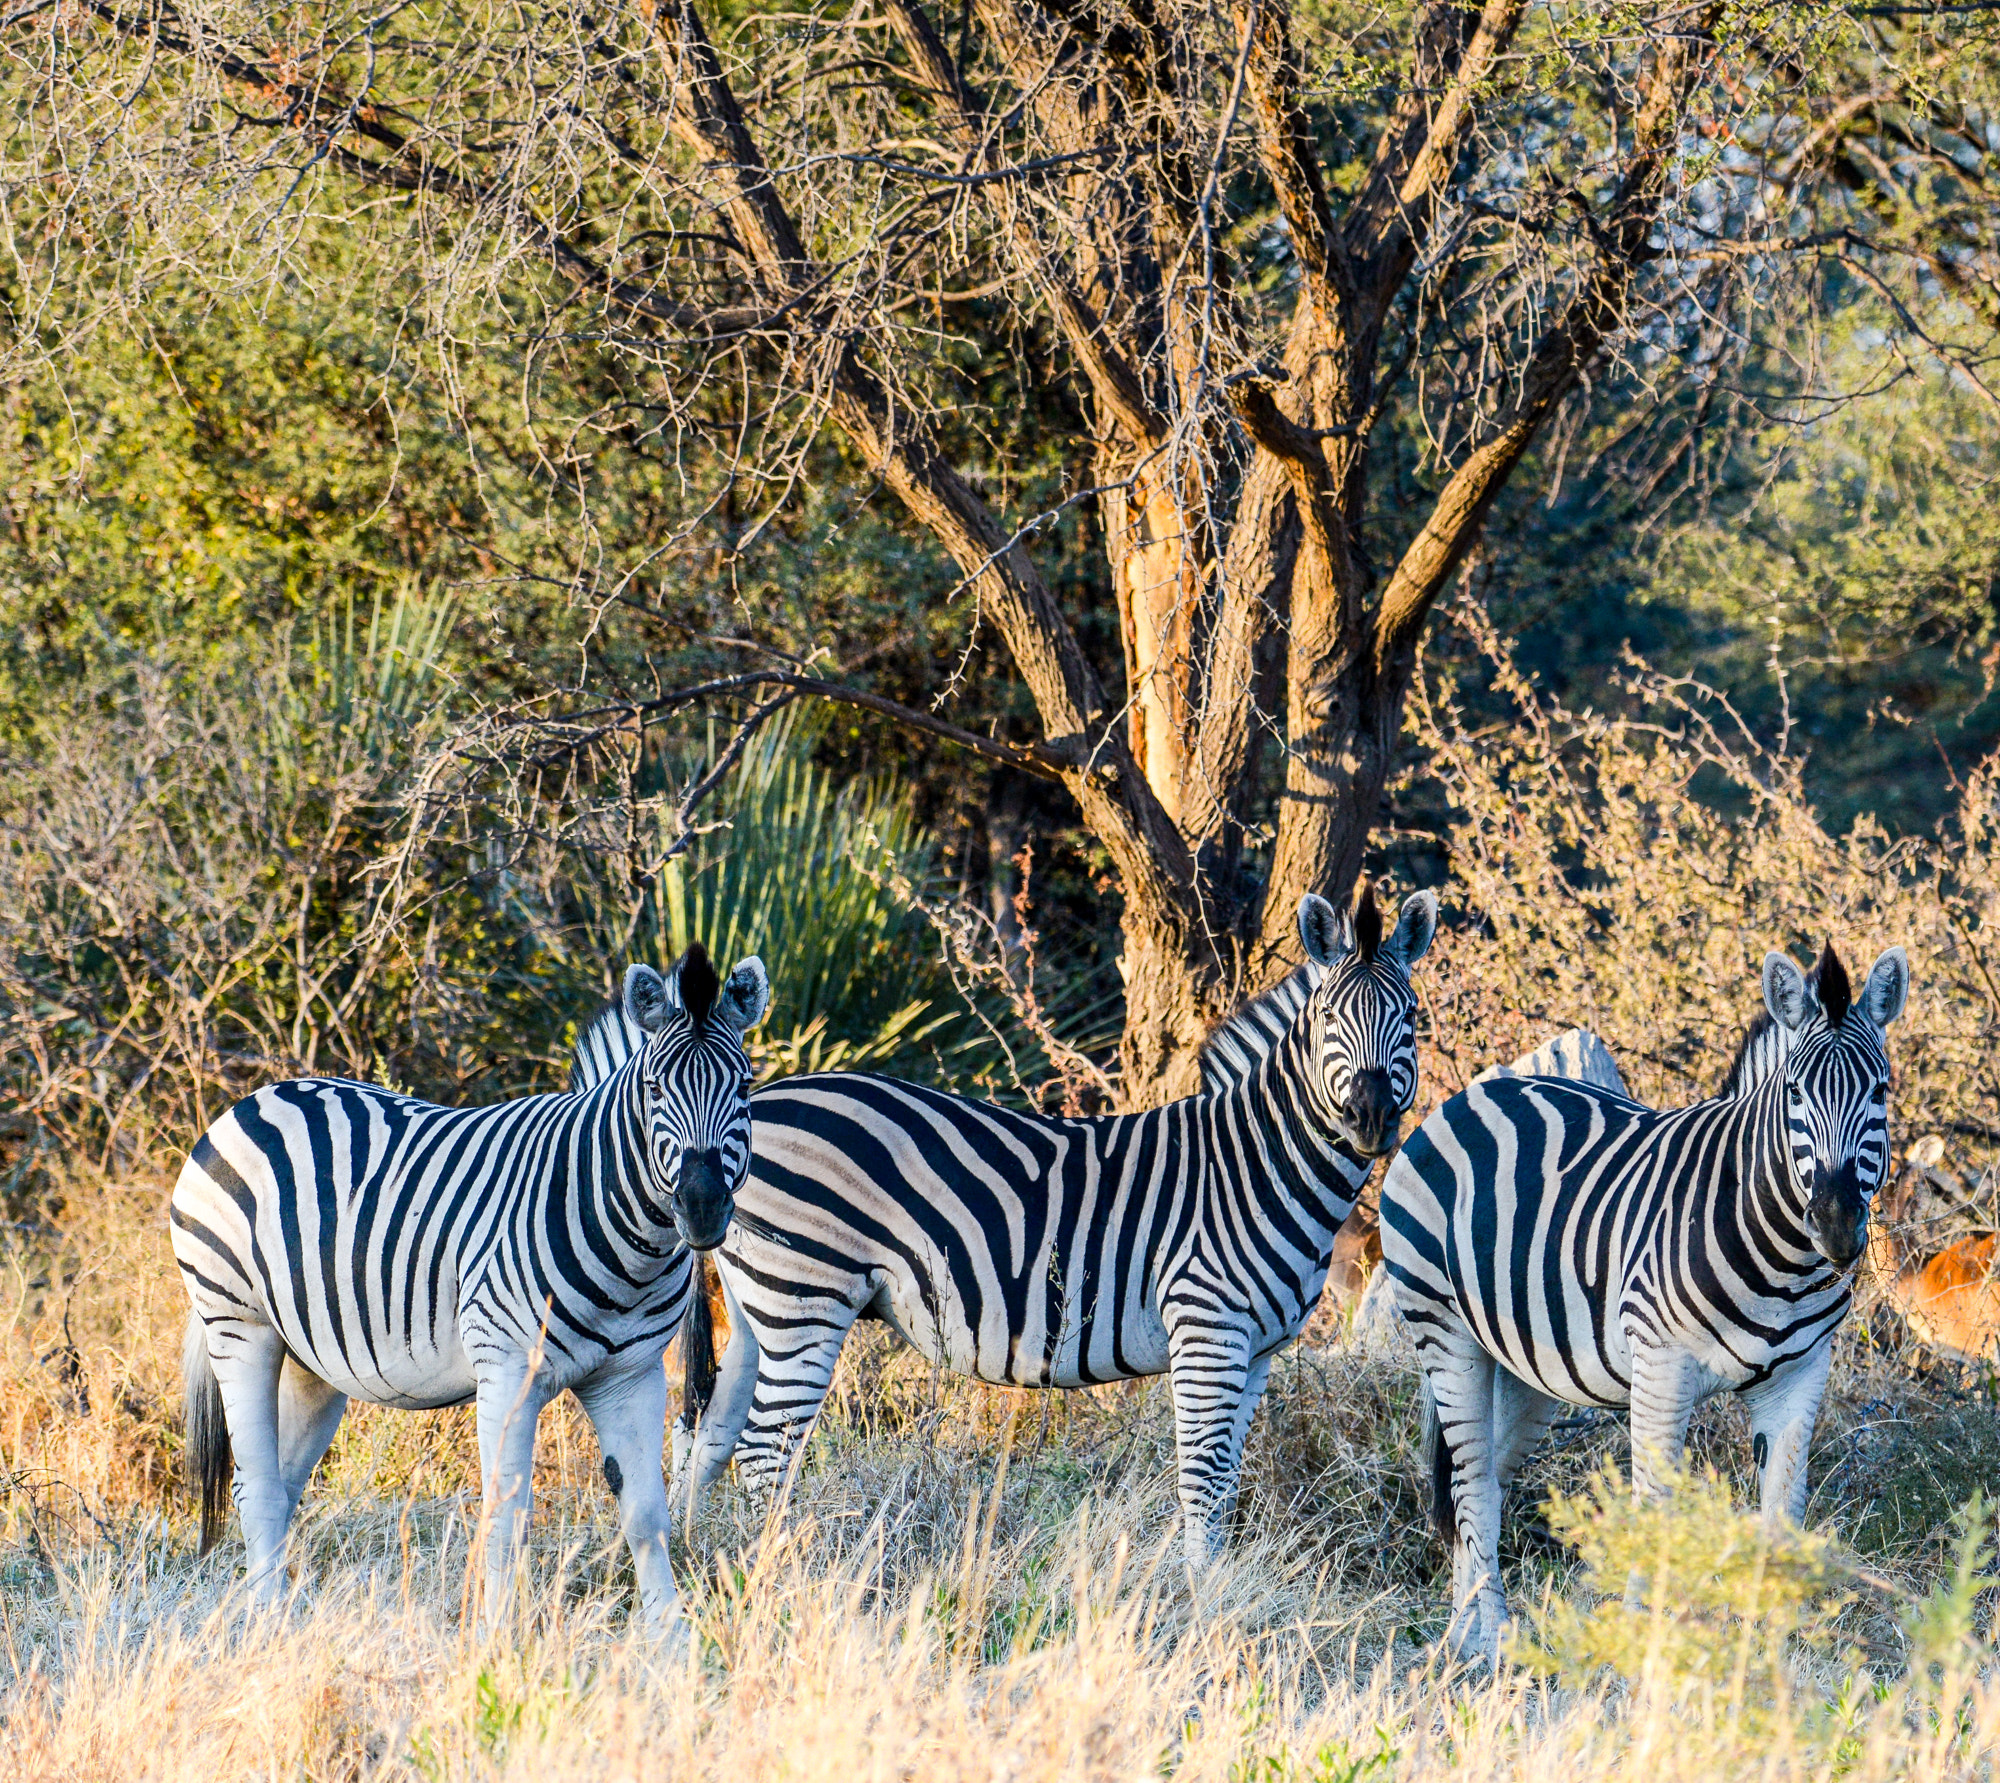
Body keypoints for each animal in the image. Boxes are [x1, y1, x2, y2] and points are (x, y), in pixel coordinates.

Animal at [174, 947, 764, 1631]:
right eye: (653, 1090)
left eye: (744, 1087)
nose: (701, 1208)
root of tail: (255, 1099)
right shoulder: (506, 1371)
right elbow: (507, 1519)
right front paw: (501, 1637)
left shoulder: (632, 1376)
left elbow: (646, 1516)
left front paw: (670, 1640)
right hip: (237, 1322)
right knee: (259, 1486)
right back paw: (270, 1621)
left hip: (312, 1357)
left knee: (275, 1481)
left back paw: (281, 1616)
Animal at [576, 887, 1440, 1559]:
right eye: (1329, 1019)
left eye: (1410, 1017)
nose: (1370, 1118)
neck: (1259, 1162)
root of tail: (759, 1103)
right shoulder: (1206, 1328)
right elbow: (1202, 1477)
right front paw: (1202, 1604)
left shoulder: (1255, 1347)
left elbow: (1226, 1479)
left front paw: (1217, 1592)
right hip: (805, 1297)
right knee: (762, 1451)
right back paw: (772, 1572)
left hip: (764, 1307)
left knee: (709, 1437)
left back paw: (704, 1561)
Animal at [1384, 939, 1912, 1663]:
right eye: (1795, 1092)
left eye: (1881, 1090)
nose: (1835, 1225)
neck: (1781, 1257)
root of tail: (1470, 1093)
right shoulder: (1661, 1365)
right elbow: (1654, 1503)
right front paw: (1643, 1646)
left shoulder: (1801, 1374)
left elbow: (1783, 1515)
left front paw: (1772, 1659)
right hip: (1444, 1330)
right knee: (1470, 1481)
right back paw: (1490, 1641)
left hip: (1522, 1368)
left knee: (1481, 1482)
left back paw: (1463, 1635)